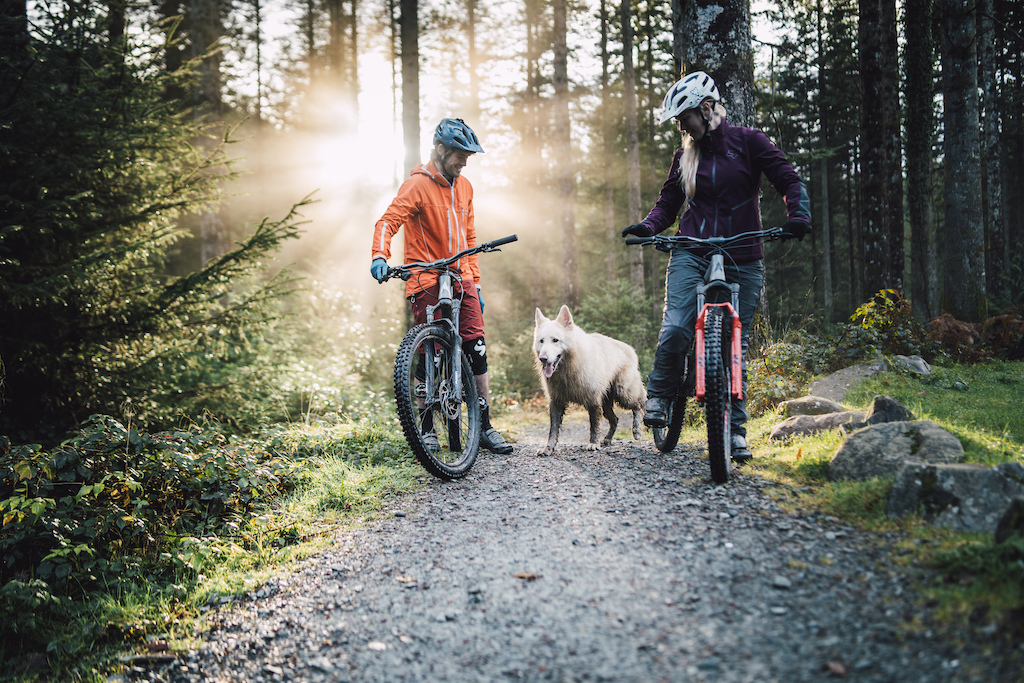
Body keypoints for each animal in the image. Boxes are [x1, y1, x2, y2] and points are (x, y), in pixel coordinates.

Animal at [532, 307, 643, 456]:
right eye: (541, 341)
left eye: (555, 340)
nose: (543, 359)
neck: (568, 369)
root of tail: (630, 349)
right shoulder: (556, 402)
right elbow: (553, 430)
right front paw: (548, 448)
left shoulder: (593, 401)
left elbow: (594, 426)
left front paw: (593, 444)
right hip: (606, 406)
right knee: (615, 419)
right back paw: (607, 439)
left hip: (623, 394)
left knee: (637, 406)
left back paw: (636, 430)